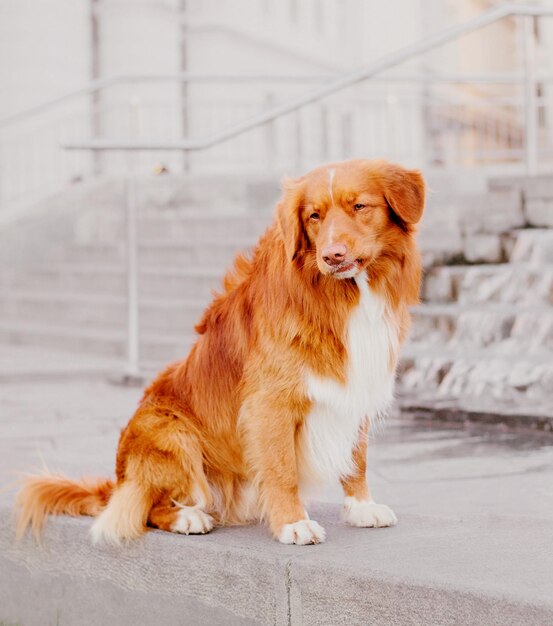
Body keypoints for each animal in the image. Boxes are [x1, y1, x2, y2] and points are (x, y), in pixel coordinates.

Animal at [16, 158, 422, 544]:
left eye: (359, 206)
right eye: (314, 216)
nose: (332, 256)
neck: (344, 295)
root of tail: (117, 480)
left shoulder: (357, 384)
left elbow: (357, 459)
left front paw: (361, 507)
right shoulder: (270, 402)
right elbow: (281, 469)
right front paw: (293, 523)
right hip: (168, 428)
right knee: (147, 506)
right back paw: (187, 517)